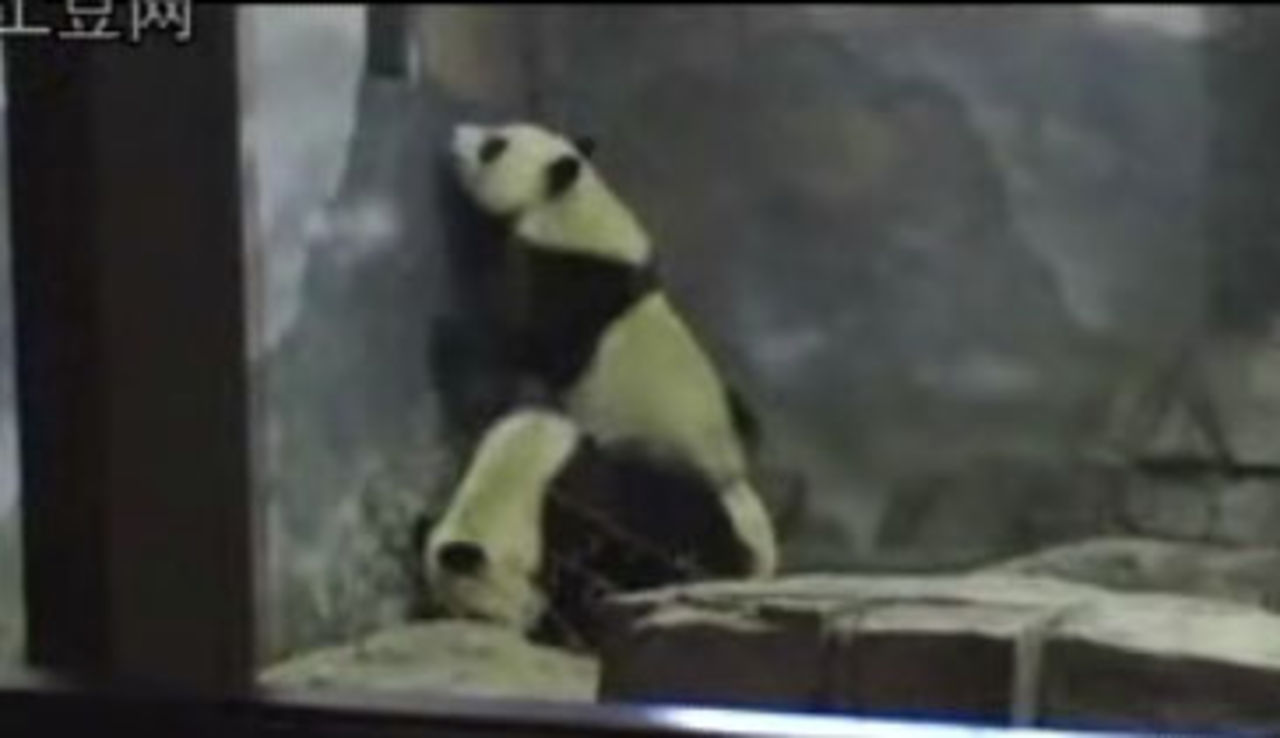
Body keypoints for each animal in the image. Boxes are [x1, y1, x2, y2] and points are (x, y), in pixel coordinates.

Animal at [446, 121, 779, 579]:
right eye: (498, 135)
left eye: (494, 146)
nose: (456, 132)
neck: (575, 209)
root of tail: (732, 477)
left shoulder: (569, 290)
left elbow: (529, 343)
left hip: (645, 454)